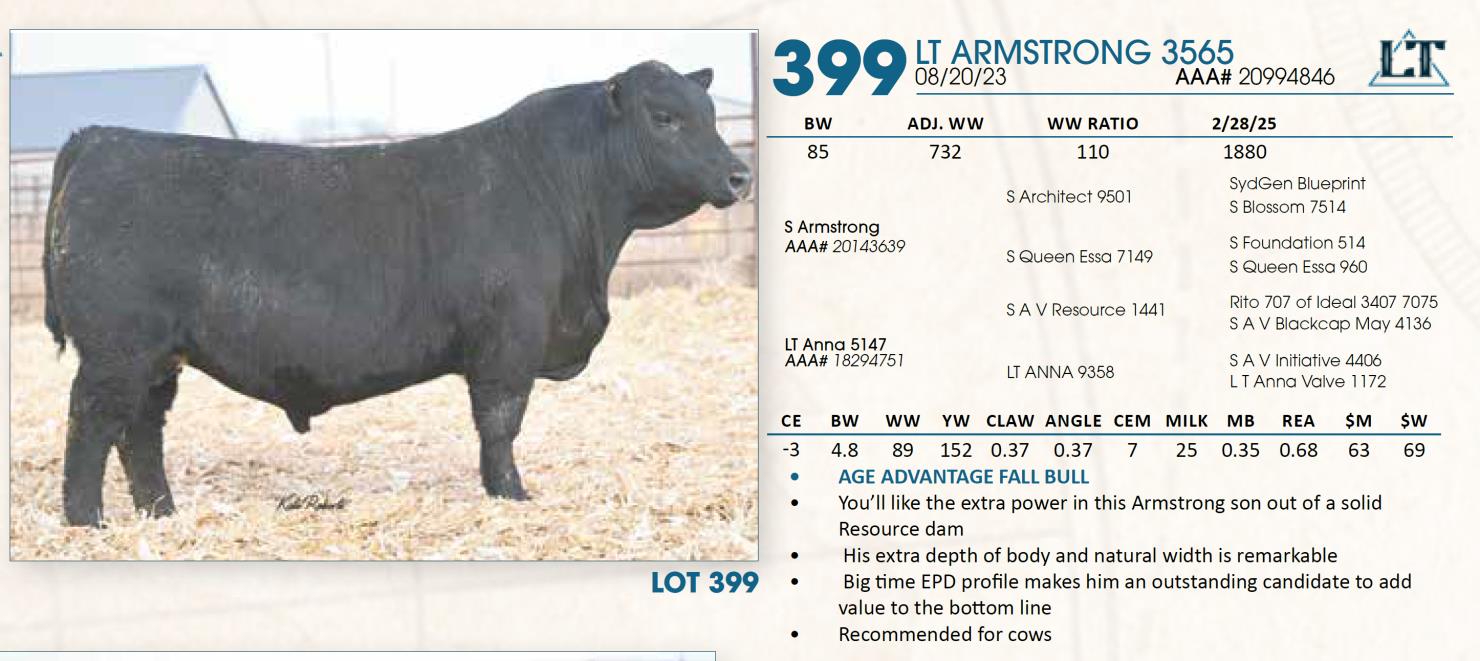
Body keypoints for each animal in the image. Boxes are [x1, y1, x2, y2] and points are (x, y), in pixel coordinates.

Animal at [42, 61, 752, 527]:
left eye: (712, 116)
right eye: (664, 118)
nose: (740, 175)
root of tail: (101, 137)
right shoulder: (508, 343)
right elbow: (501, 423)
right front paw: (512, 495)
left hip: (158, 355)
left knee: (141, 430)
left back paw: (161, 514)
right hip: (117, 348)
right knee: (93, 422)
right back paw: (87, 521)